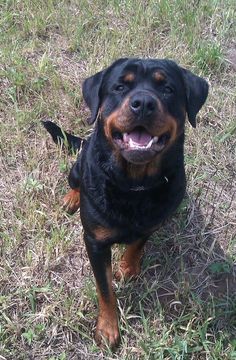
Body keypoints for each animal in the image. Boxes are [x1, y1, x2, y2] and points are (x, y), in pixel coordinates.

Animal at [42, 57, 208, 348]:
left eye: (167, 89)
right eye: (120, 87)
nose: (143, 103)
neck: (133, 184)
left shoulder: (151, 223)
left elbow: (138, 244)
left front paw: (128, 267)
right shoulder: (95, 242)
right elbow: (105, 288)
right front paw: (108, 328)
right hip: (77, 167)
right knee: (76, 181)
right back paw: (72, 198)